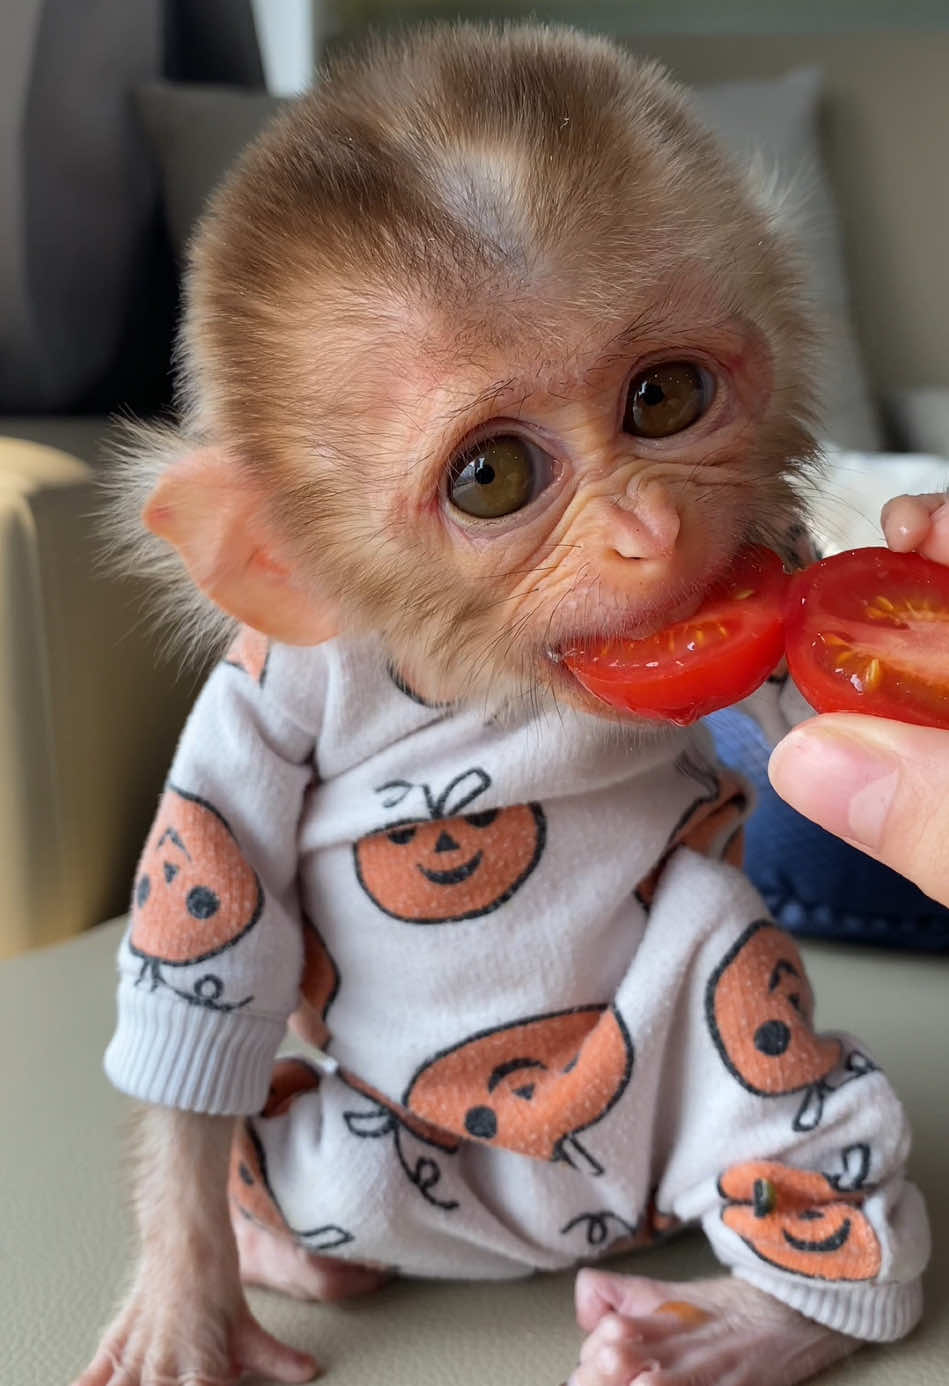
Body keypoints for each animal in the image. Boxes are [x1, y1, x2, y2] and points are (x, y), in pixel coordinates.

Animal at [72, 21, 925, 1386]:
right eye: (493, 477)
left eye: (663, 397)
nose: (651, 531)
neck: (484, 685)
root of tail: (559, 1234)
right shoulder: (260, 693)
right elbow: (215, 938)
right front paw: (184, 1294)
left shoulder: (775, 587)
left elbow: (808, 724)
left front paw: (912, 553)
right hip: (371, 1148)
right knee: (275, 1140)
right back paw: (277, 1248)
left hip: (723, 1035)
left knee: (794, 1113)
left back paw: (746, 1324)